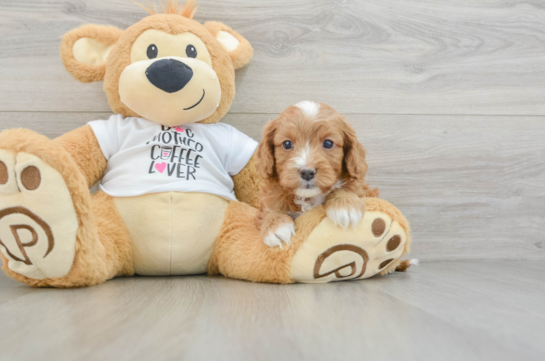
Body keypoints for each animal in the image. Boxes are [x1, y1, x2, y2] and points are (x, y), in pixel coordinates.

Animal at [256, 101, 376, 248]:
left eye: (328, 143)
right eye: (287, 144)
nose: (307, 172)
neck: (309, 198)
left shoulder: (363, 190)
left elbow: (343, 188)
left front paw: (345, 205)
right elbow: (269, 210)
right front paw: (275, 226)